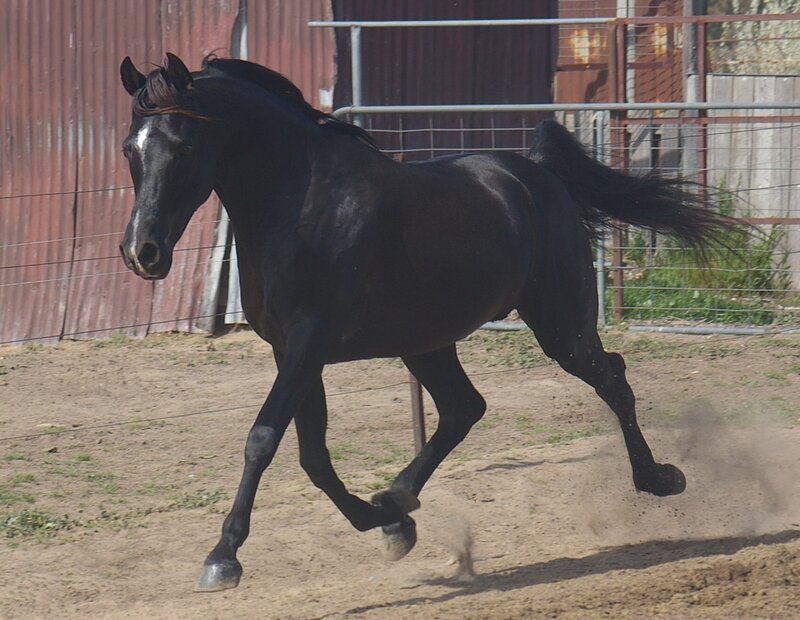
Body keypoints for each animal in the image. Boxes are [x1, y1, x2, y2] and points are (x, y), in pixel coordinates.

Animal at [118, 53, 736, 592]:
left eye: (183, 145)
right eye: (131, 148)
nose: (142, 253)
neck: (300, 206)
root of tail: (536, 174)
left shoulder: (308, 343)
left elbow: (264, 438)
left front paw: (222, 558)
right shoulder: (290, 350)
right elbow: (313, 455)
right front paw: (389, 525)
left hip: (561, 328)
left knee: (612, 379)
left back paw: (659, 479)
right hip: (426, 342)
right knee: (465, 407)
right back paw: (396, 501)